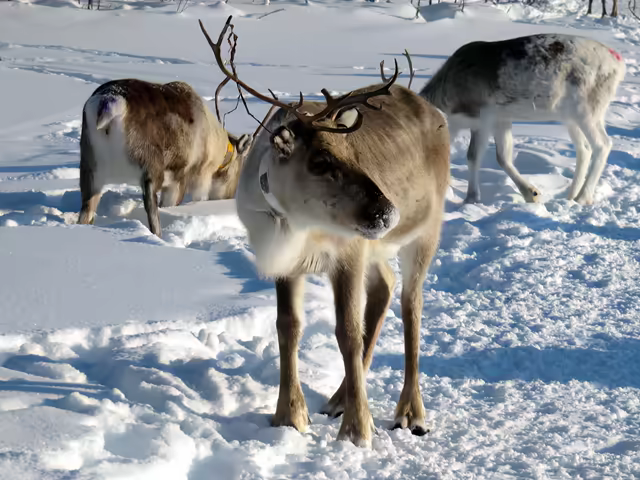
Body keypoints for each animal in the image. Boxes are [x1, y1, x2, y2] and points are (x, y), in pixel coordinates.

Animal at [77, 78, 253, 238]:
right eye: (239, 170)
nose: (229, 197)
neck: (217, 149)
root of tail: (109, 102)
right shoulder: (185, 178)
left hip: (90, 169)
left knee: (86, 210)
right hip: (150, 168)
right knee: (152, 209)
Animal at [200, 16, 450, 448]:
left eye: (354, 154)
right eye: (319, 161)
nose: (388, 212)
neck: (298, 226)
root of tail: (433, 110)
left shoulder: (348, 254)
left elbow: (347, 332)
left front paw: (358, 429)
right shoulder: (287, 262)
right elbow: (288, 327)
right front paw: (289, 416)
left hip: (423, 233)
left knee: (411, 304)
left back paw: (410, 413)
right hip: (376, 248)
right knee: (385, 288)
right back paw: (337, 398)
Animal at [418, 33, 626, 205]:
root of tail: (618, 62)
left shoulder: (482, 117)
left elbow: (473, 156)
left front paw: (471, 199)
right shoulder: (501, 119)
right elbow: (503, 157)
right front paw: (531, 193)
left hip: (587, 110)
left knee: (603, 144)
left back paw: (583, 198)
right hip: (570, 117)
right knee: (584, 149)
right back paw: (571, 195)